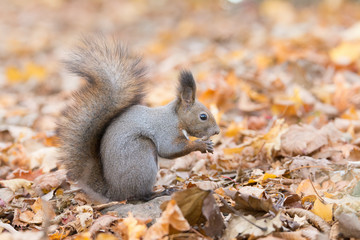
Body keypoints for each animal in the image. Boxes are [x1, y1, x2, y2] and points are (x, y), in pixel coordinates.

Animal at [57, 38, 219, 202]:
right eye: (203, 116)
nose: (217, 131)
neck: (176, 117)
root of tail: (114, 192)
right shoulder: (166, 130)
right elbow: (170, 149)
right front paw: (201, 145)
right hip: (142, 156)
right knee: (140, 195)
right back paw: (159, 192)